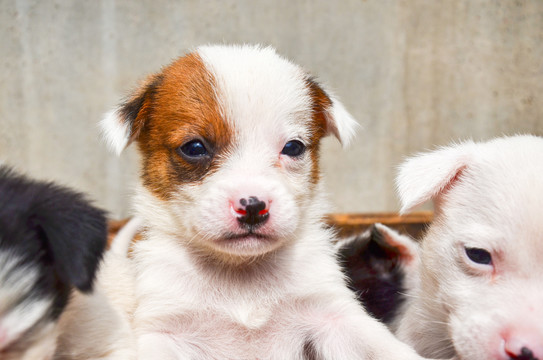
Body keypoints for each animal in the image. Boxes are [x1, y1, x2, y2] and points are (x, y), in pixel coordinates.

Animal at [59, 44, 434, 360]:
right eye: (194, 148)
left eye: (294, 147)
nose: (253, 206)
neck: (242, 276)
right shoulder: (163, 332)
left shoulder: (333, 317)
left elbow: (383, 348)